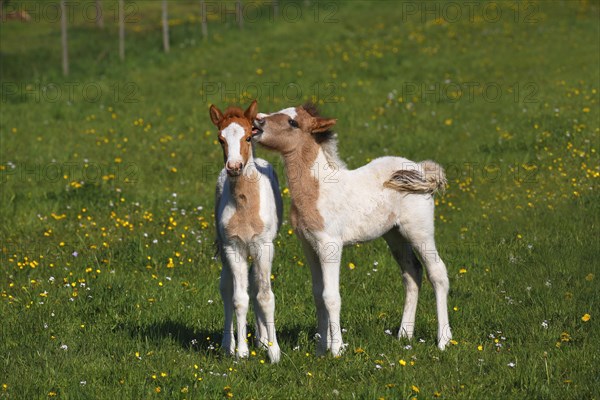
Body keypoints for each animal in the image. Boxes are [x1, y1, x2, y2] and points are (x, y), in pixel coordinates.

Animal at [211, 100, 284, 362]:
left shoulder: (264, 246)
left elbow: (265, 296)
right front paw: (241, 352)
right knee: (226, 288)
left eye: (249, 138)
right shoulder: (233, 247)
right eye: (220, 139)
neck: (244, 206)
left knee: (255, 284)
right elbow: (238, 298)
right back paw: (227, 344)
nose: (234, 167)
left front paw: (273, 350)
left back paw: (262, 341)